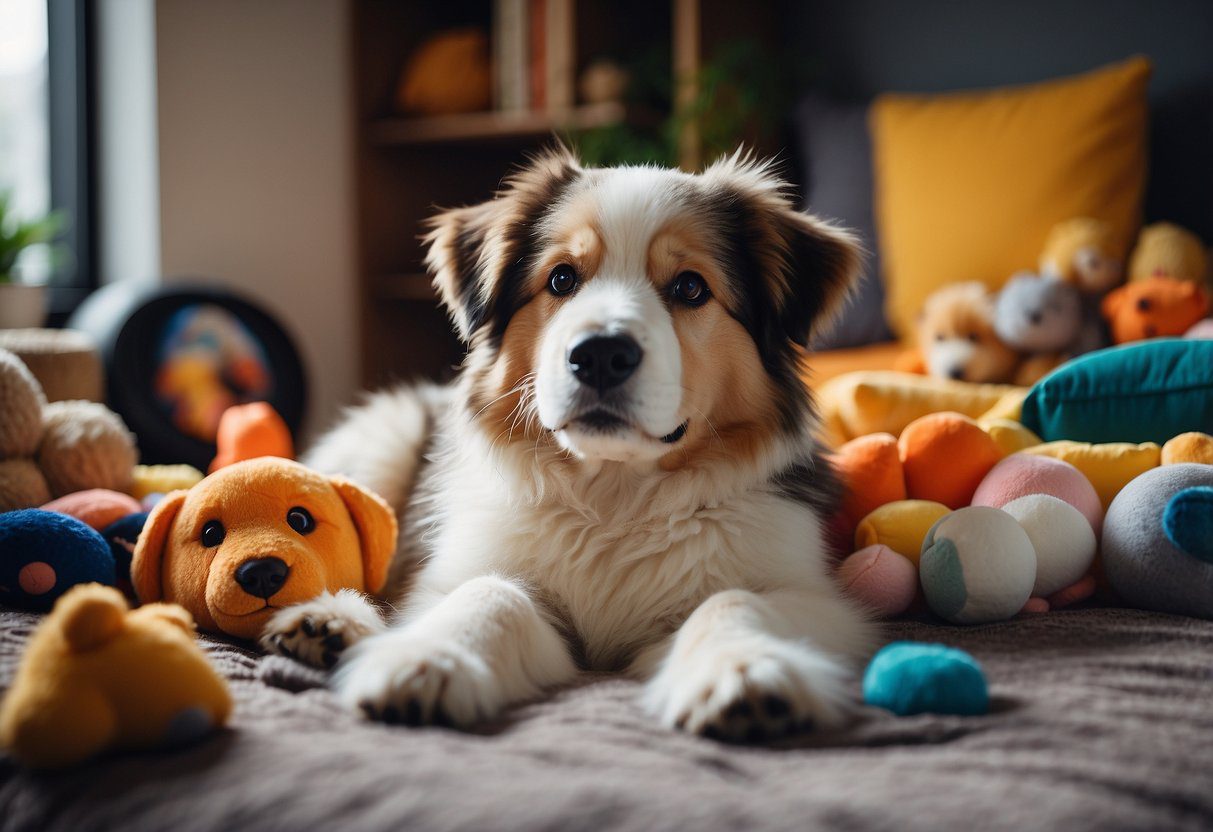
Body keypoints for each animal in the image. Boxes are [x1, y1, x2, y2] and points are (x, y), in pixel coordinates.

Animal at [263, 148, 873, 742]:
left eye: (690, 287)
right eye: (561, 279)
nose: (600, 354)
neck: (615, 496)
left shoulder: (820, 599)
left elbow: (735, 598)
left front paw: (741, 668)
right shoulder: (453, 576)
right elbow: (488, 592)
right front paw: (430, 659)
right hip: (380, 449)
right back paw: (329, 623)